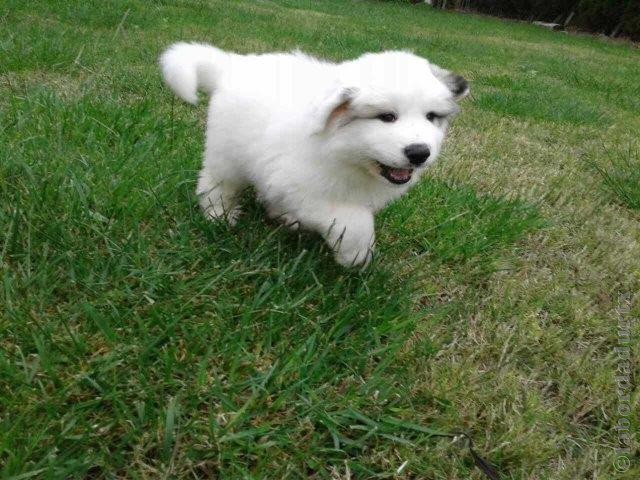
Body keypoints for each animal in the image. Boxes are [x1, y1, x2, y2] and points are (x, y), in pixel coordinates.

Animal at [160, 43, 470, 268]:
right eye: (387, 117)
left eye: (431, 117)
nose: (419, 152)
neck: (346, 154)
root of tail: (233, 66)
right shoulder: (304, 189)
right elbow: (355, 221)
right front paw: (356, 256)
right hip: (227, 154)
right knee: (217, 182)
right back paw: (219, 215)